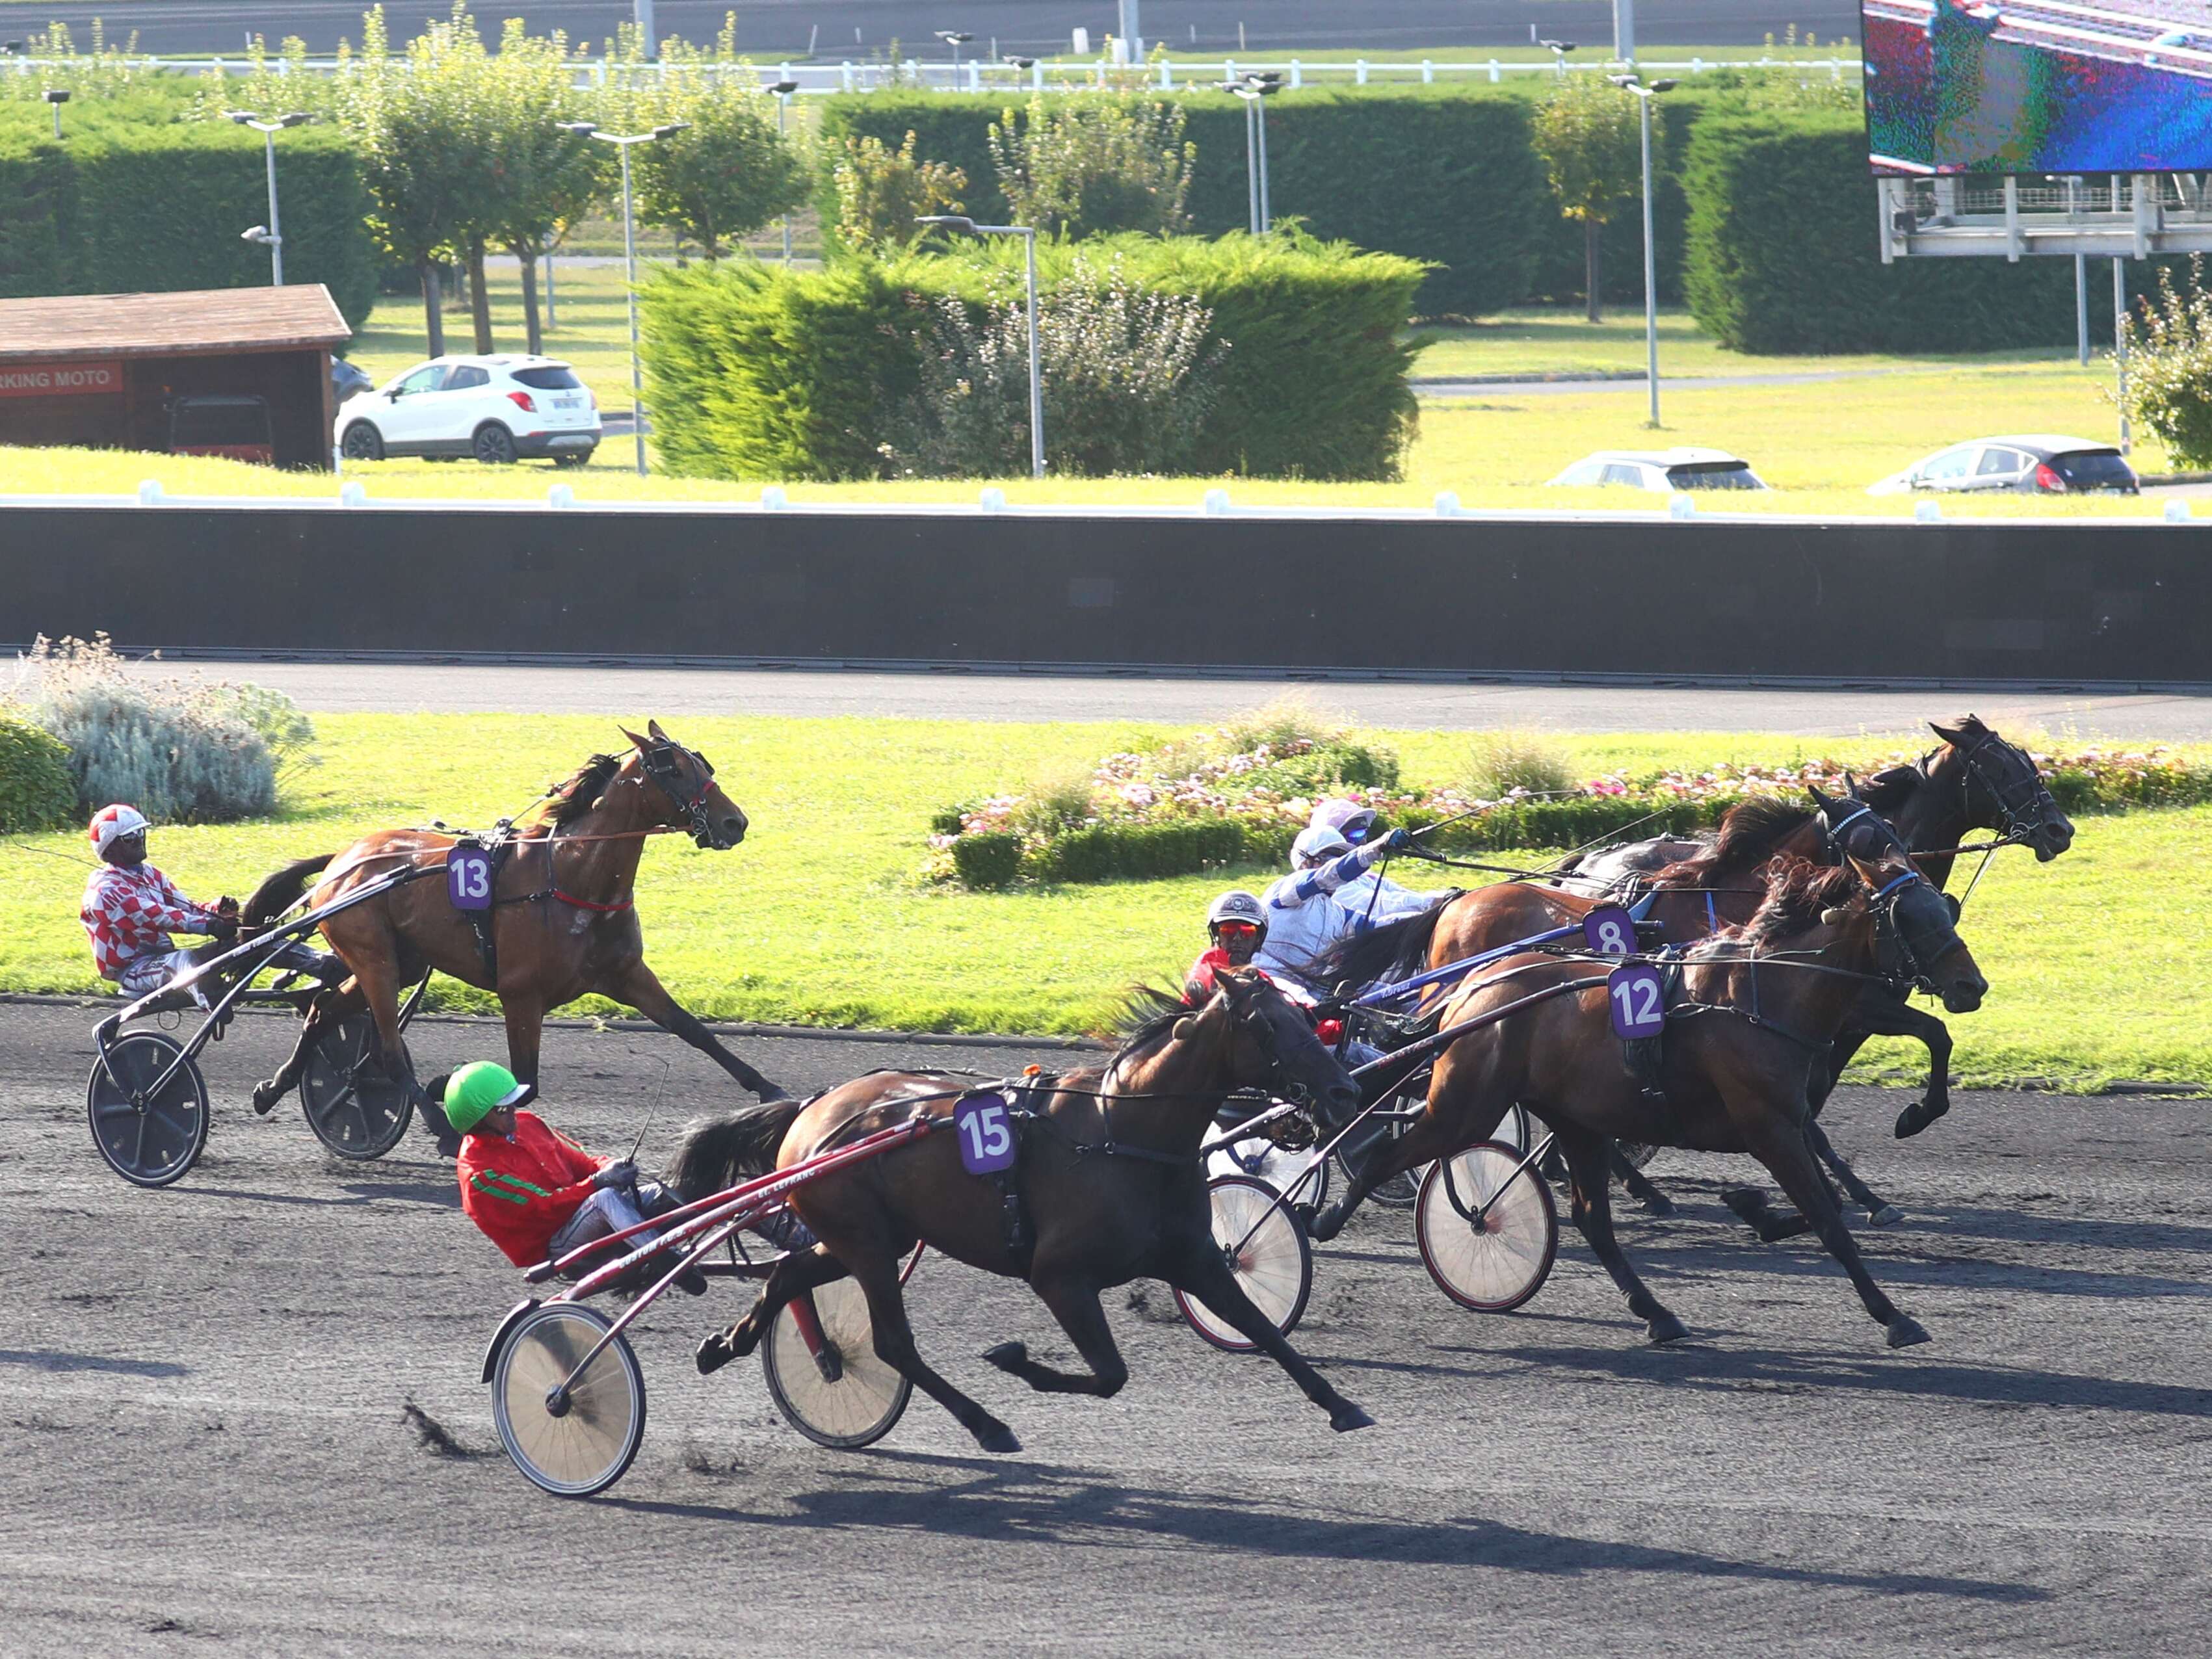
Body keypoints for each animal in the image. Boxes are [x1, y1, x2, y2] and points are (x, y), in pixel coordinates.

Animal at [242, 725, 791, 1141]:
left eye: (704, 765)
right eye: (672, 768)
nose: (734, 822)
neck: (569, 877)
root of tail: (344, 857)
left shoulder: (627, 975)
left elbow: (694, 1029)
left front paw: (772, 1091)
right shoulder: (520, 995)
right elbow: (524, 1081)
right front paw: (449, 1089)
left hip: (403, 962)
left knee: (323, 1010)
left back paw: (274, 1088)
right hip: (373, 956)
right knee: (388, 1050)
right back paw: (435, 1122)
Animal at [663, 969, 1371, 1459]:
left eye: (1307, 1015)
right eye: (1268, 1026)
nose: (1343, 1091)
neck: (1123, 1134)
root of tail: (813, 1107)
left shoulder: (1194, 1258)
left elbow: (1264, 1327)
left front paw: (1342, 1405)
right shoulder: (1059, 1275)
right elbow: (1110, 1374)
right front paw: (1012, 1359)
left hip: (867, 1236)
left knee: (787, 1275)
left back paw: (724, 1345)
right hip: (863, 1240)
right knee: (891, 1341)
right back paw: (987, 1423)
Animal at [1300, 827, 1999, 1353]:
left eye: (1944, 907)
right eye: (1911, 915)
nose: (1973, 986)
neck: (1763, 993)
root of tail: (1475, 989)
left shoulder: (1790, 1117)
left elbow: (1823, 1197)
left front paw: (1758, 1206)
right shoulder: (1769, 1126)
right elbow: (1827, 1217)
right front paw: (1894, 1316)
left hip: (1572, 1118)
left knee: (1592, 1218)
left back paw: (1656, 1311)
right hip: (1468, 1103)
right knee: (1393, 1151)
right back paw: (1327, 1215)